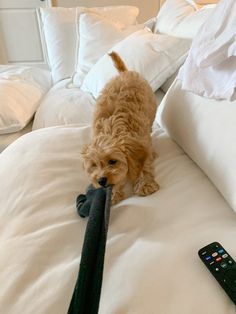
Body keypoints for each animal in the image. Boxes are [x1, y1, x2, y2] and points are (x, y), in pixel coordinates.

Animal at [80, 51, 159, 204]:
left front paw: (145, 184)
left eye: (113, 161)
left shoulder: (142, 142)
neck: (112, 129)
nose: (101, 180)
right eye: (94, 165)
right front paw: (113, 194)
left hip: (151, 107)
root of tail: (124, 73)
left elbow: (144, 164)